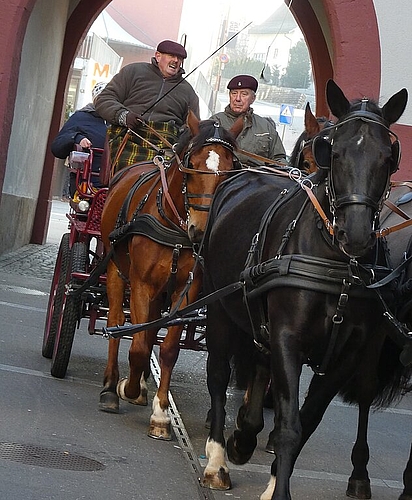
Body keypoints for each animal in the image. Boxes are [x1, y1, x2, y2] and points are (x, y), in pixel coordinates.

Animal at [99, 111, 241, 440]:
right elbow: (138, 346)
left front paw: (161, 414)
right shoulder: (141, 283)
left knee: (149, 328)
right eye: (191, 166)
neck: (175, 225)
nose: (200, 230)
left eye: (229, 171)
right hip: (115, 269)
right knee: (116, 323)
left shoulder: (185, 291)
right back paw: (111, 387)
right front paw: (128, 387)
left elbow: (167, 350)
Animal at [200, 80, 408, 498]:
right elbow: (289, 426)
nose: (355, 234)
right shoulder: (287, 337)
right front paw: (275, 485)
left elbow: (306, 420)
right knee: (217, 375)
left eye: (388, 157)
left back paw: (244, 436)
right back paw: (217, 457)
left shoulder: (346, 354)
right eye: (335, 152)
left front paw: (273, 475)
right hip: (219, 307)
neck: (337, 266)